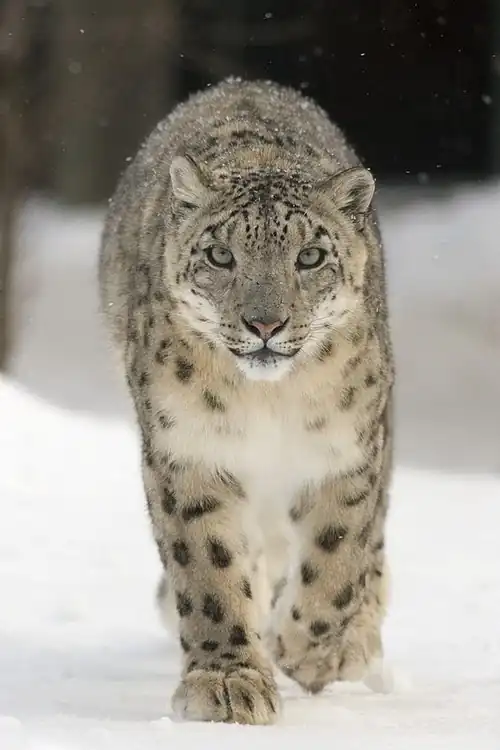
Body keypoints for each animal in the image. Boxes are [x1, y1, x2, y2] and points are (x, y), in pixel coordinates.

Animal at [98, 77, 395, 725]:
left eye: (310, 257)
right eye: (220, 255)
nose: (265, 323)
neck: (269, 403)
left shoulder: (346, 452)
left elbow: (338, 560)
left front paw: (308, 652)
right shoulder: (188, 451)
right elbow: (210, 569)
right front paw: (229, 683)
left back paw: (355, 641)